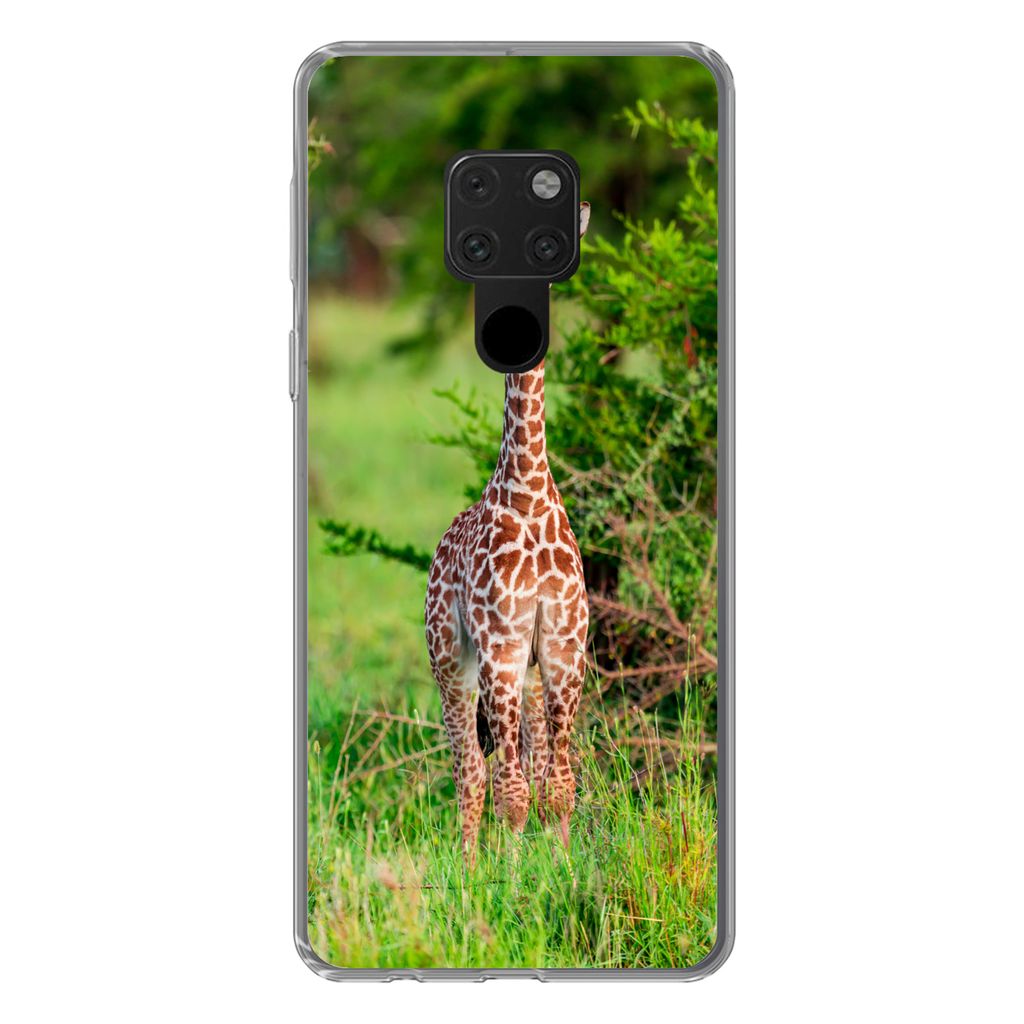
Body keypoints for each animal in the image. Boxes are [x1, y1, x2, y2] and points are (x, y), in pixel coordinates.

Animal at [424, 205, 591, 869]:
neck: (528, 487)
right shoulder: (499, 644)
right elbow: (512, 794)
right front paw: (514, 881)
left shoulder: (565, 646)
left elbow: (557, 785)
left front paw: (565, 871)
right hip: (452, 659)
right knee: (471, 771)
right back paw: (470, 872)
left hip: (529, 669)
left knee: (532, 763)